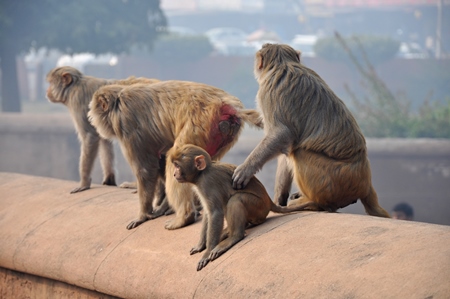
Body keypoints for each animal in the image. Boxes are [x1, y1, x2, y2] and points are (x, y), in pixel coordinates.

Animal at [45, 66, 160, 195]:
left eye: (51, 83)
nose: (47, 91)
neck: (74, 86)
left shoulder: (77, 101)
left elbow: (90, 136)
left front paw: (84, 183)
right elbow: (104, 140)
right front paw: (109, 179)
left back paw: (137, 184)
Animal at [89, 81, 264, 231]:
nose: (91, 118)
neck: (118, 101)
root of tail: (228, 105)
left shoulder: (126, 124)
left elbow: (146, 169)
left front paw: (143, 215)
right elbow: (157, 160)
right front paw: (161, 205)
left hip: (199, 124)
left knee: (175, 160)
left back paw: (184, 217)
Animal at [172, 145, 316, 272]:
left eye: (177, 166)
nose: (174, 174)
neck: (201, 173)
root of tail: (269, 201)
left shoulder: (207, 183)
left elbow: (215, 213)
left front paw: (207, 252)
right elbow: (208, 213)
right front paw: (201, 245)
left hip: (258, 207)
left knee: (236, 199)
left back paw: (234, 236)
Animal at [232, 43, 390, 219]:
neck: (283, 63)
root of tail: (365, 184)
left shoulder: (269, 90)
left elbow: (281, 134)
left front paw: (245, 169)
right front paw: (238, 111)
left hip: (335, 181)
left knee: (299, 152)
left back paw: (316, 203)